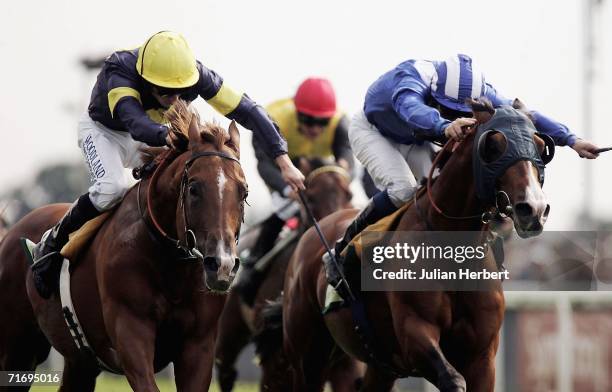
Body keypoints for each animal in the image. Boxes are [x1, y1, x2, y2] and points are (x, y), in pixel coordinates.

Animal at [0, 102, 249, 392]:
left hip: (80, 361)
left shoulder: (198, 345)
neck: (171, 265)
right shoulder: (131, 332)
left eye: (244, 192)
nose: (222, 265)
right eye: (194, 188)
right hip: (18, 349)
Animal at [214, 157, 358, 392]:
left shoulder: (345, 362)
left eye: (349, 195)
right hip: (229, 334)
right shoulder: (278, 355)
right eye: (310, 197)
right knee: (226, 370)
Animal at [278, 99, 548, 390]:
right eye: (493, 146)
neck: (453, 254)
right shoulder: (415, 335)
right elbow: (453, 379)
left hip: (379, 367)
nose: (533, 209)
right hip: (307, 357)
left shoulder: (482, 357)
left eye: (541, 146)